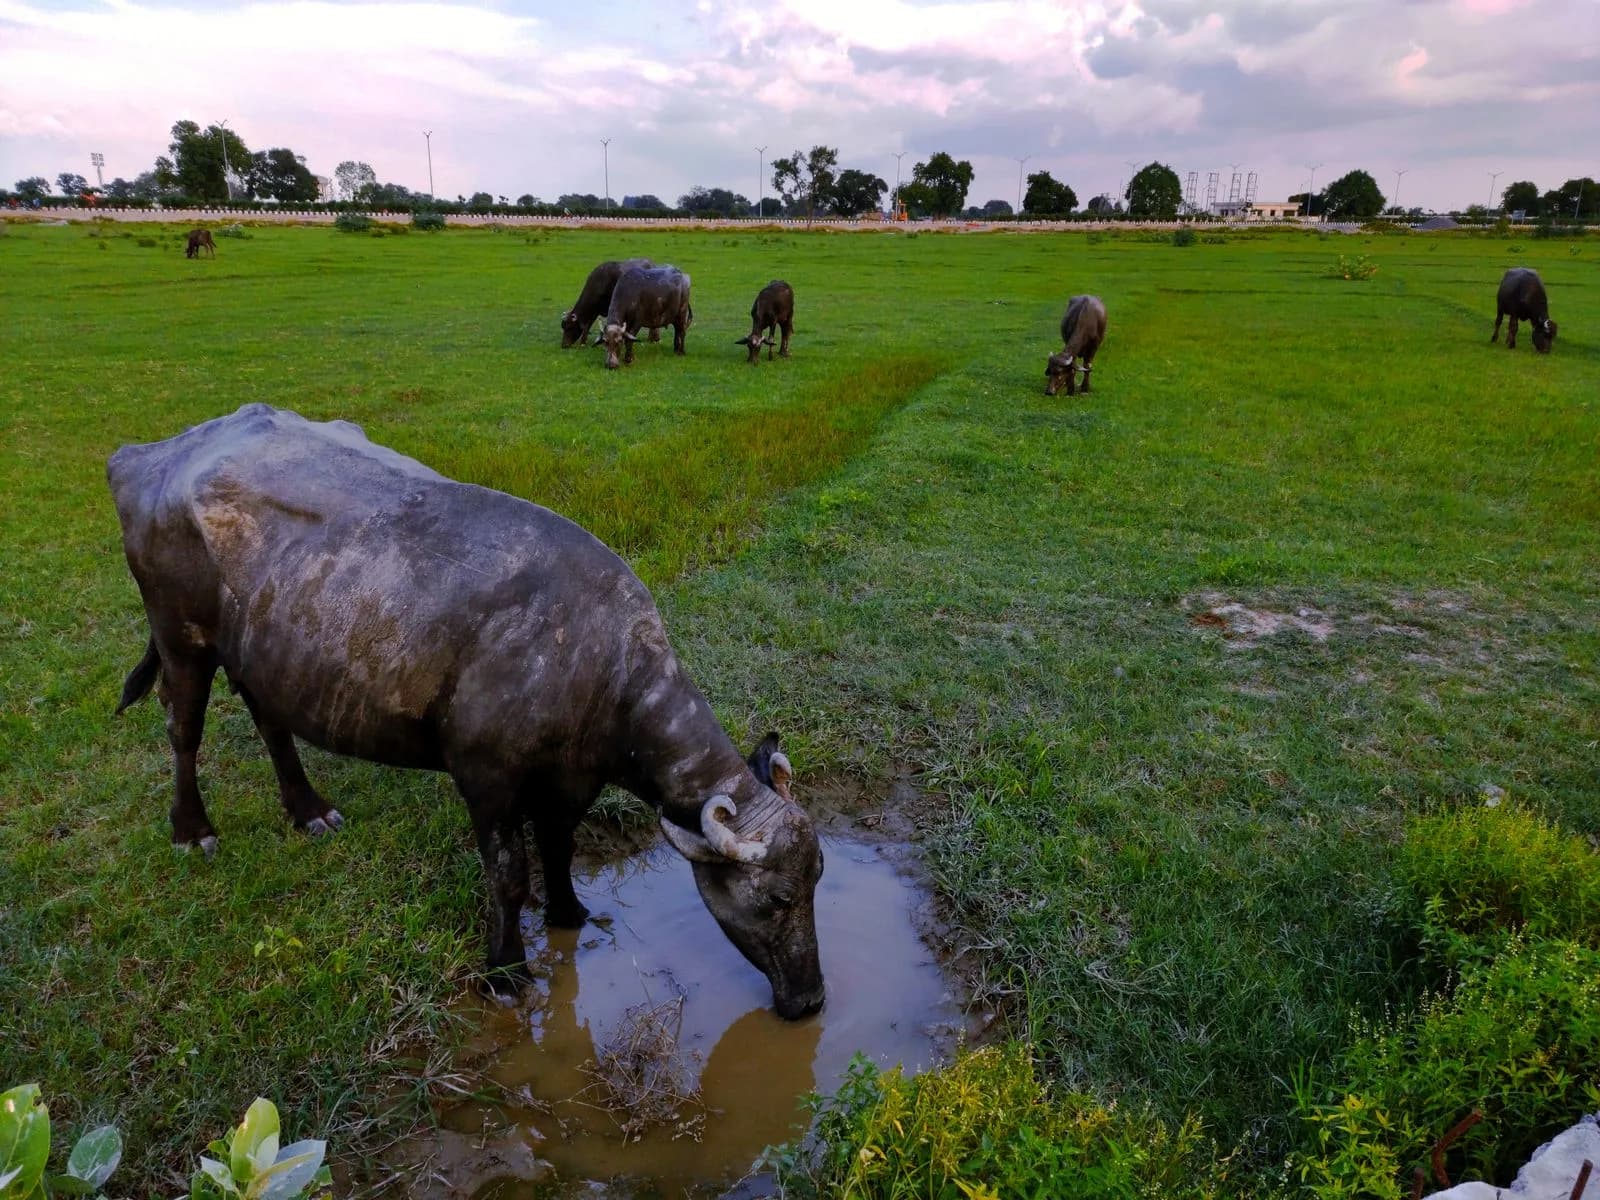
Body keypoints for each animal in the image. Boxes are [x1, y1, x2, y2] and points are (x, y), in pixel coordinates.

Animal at [108, 405, 825, 1018]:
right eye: (778, 897)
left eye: (818, 878)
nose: (812, 999)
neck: (598, 662)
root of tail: (148, 456)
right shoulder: (486, 777)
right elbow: (507, 875)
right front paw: (506, 970)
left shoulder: (573, 778)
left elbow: (558, 845)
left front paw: (569, 913)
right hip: (180, 636)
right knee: (182, 726)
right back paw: (192, 828)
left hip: (261, 652)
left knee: (269, 718)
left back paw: (308, 809)